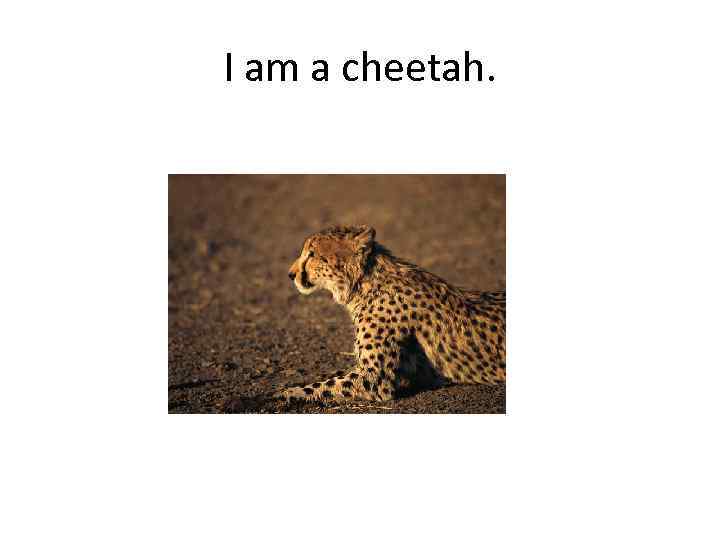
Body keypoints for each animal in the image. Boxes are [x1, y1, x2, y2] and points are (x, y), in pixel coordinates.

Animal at [280, 225, 505, 402]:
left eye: (312, 254)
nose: (290, 274)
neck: (365, 284)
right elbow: (337, 375)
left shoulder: (375, 379)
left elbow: (325, 385)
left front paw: (287, 393)